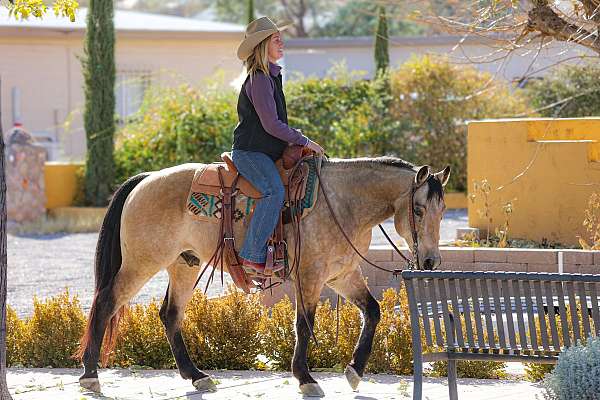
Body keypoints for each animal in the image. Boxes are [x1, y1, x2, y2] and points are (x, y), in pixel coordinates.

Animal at [76, 155, 450, 396]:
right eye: (419, 210)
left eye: (443, 209)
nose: (431, 260)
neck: (342, 204)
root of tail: (146, 179)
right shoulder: (310, 275)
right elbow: (304, 325)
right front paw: (305, 378)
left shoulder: (342, 274)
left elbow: (372, 311)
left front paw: (355, 372)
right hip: (141, 263)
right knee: (106, 303)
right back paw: (90, 376)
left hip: (184, 264)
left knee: (170, 314)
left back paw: (196, 376)